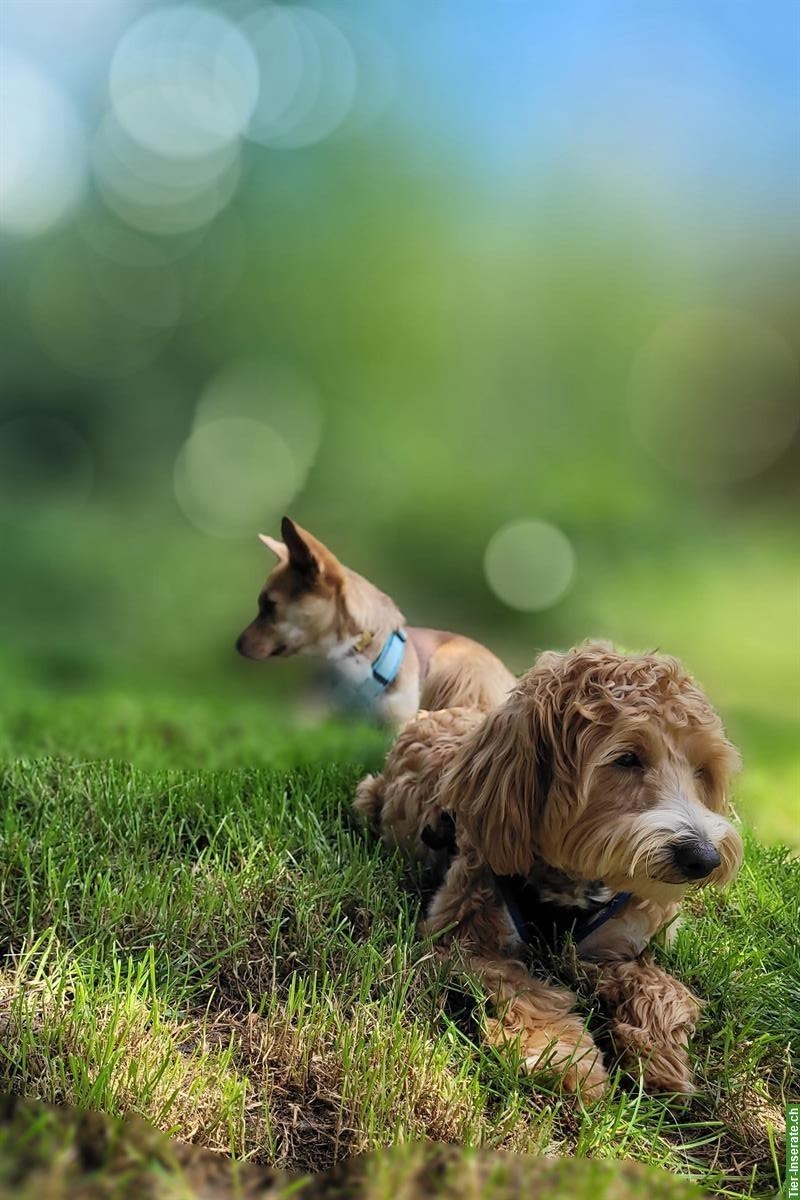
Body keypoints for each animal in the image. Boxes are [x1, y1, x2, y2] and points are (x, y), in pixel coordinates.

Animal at [357, 643, 743, 1099]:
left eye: (702, 770)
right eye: (627, 759)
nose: (702, 858)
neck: (571, 885)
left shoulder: (613, 945)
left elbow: (659, 983)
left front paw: (659, 1052)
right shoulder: (463, 938)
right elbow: (526, 988)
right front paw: (564, 1058)